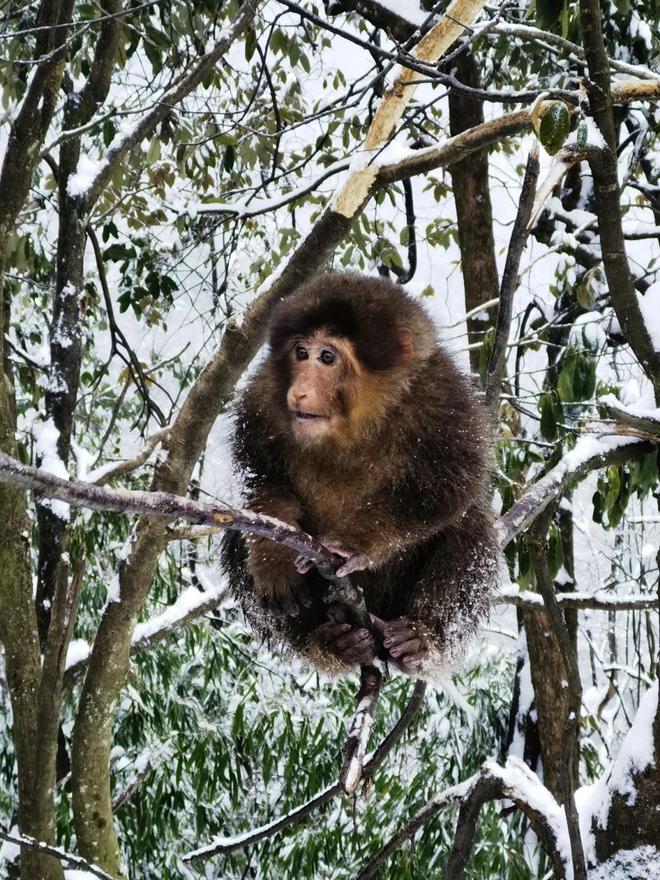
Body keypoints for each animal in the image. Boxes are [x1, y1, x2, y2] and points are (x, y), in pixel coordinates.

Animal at [222, 272, 500, 676]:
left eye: (327, 357)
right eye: (301, 353)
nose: (300, 392)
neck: (354, 426)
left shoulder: (445, 402)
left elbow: (451, 488)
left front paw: (352, 544)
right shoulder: (262, 401)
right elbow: (262, 480)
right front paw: (275, 558)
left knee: (470, 525)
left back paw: (419, 640)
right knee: (234, 536)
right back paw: (333, 643)